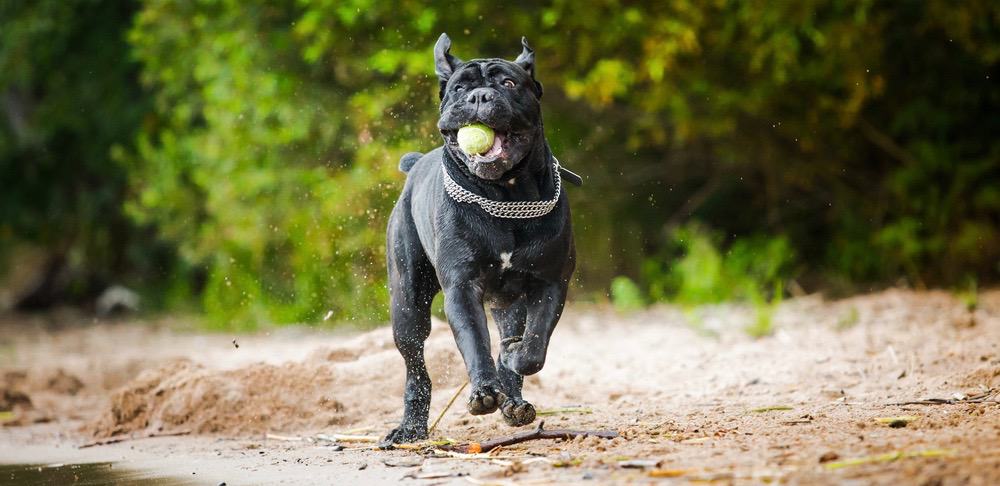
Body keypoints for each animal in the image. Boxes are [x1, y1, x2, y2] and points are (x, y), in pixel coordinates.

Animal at [382, 33, 580, 444]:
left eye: (508, 83)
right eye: (460, 88)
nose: (479, 97)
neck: (505, 196)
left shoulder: (550, 282)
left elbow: (534, 344)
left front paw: (513, 360)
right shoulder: (462, 287)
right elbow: (474, 341)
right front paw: (483, 391)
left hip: (508, 304)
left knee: (511, 339)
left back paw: (514, 401)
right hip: (408, 306)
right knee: (415, 366)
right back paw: (411, 427)